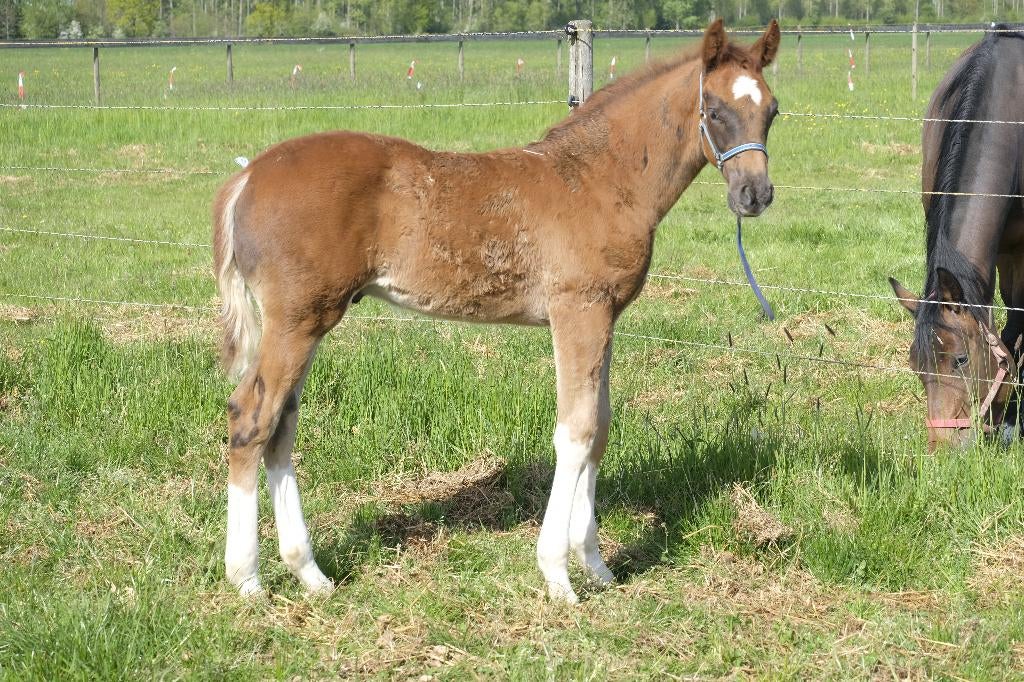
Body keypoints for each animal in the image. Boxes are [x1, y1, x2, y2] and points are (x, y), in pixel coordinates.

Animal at [213, 19, 780, 602]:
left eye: (773, 110)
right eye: (716, 110)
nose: (755, 195)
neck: (601, 179)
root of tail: (248, 177)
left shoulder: (604, 316)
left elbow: (599, 427)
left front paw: (597, 565)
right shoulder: (577, 310)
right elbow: (575, 432)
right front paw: (558, 576)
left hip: (312, 320)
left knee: (281, 427)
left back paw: (310, 573)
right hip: (295, 322)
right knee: (251, 419)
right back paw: (248, 577)